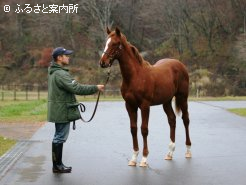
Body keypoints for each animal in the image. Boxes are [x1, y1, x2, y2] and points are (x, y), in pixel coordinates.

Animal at [99, 26, 191, 167]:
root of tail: (180, 64)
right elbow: (133, 129)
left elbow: (144, 129)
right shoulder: (129, 105)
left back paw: (188, 151)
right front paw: (133, 158)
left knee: (185, 120)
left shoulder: (145, 105)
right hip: (166, 101)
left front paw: (144, 158)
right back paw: (170, 153)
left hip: (182, 97)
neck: (135, 76)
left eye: (115, 43)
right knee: (172, 120)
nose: (103, 62)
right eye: (106, 42)